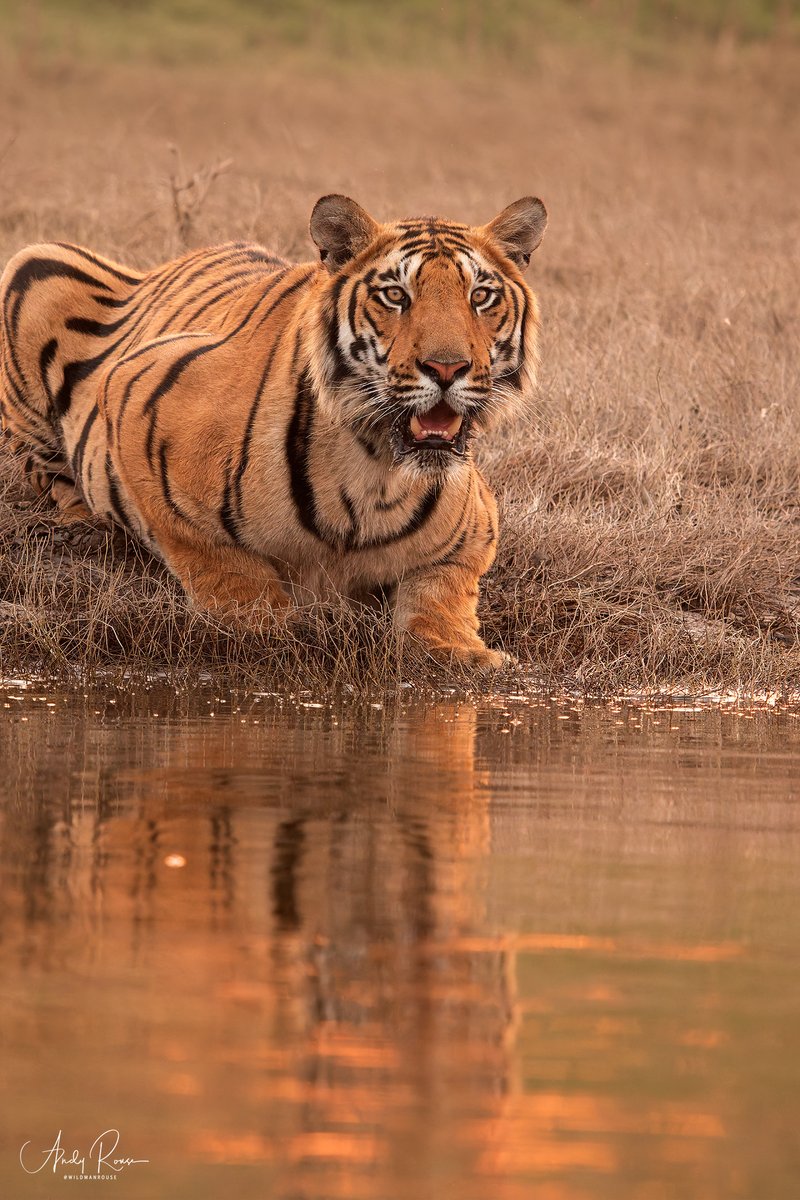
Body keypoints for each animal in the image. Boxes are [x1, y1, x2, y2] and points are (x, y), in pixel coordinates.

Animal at [0, 193, 547, 668]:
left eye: (480, 296)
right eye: (395, 295)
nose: (447, 368)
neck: (374, 468)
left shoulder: (476, 527)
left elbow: (443, 594)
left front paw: (465, 651)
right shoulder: (136, 393)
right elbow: (219, 561)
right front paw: (269, 623)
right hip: (34, 263)